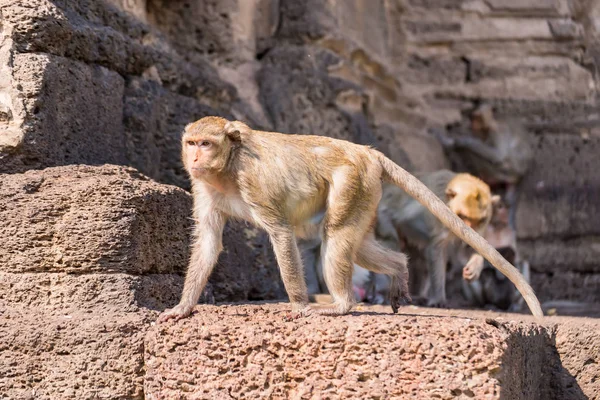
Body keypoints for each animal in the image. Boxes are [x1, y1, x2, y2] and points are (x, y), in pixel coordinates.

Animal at [380, 170, 502, 308]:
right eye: (463, 216)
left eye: (480, 220)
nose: (470, 228)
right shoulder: (439, 215)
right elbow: (435, 247)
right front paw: (438, 299)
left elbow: (470, 246)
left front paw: (474, 268)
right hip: (382, 217)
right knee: (393, 241)